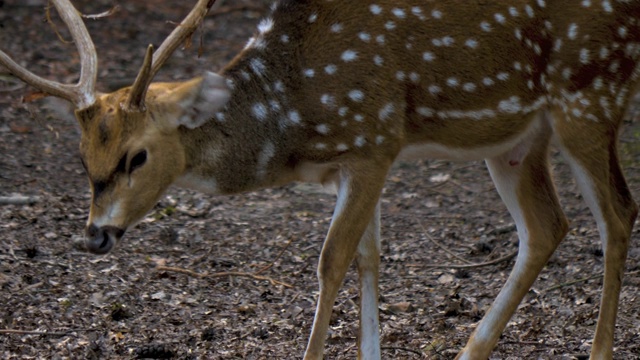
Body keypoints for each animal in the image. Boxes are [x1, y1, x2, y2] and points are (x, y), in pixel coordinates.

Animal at [1, 0, 640, 358]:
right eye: (84, 157)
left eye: (137, 157)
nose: (94, 235)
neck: (293, 117)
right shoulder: (352, 163)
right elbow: (368, 259)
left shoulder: (374, 140)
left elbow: (332, 260)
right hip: (516, 139)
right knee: (547, 226)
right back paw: (470, 352)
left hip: (590, 92)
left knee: (618, 212)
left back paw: (598, 352)